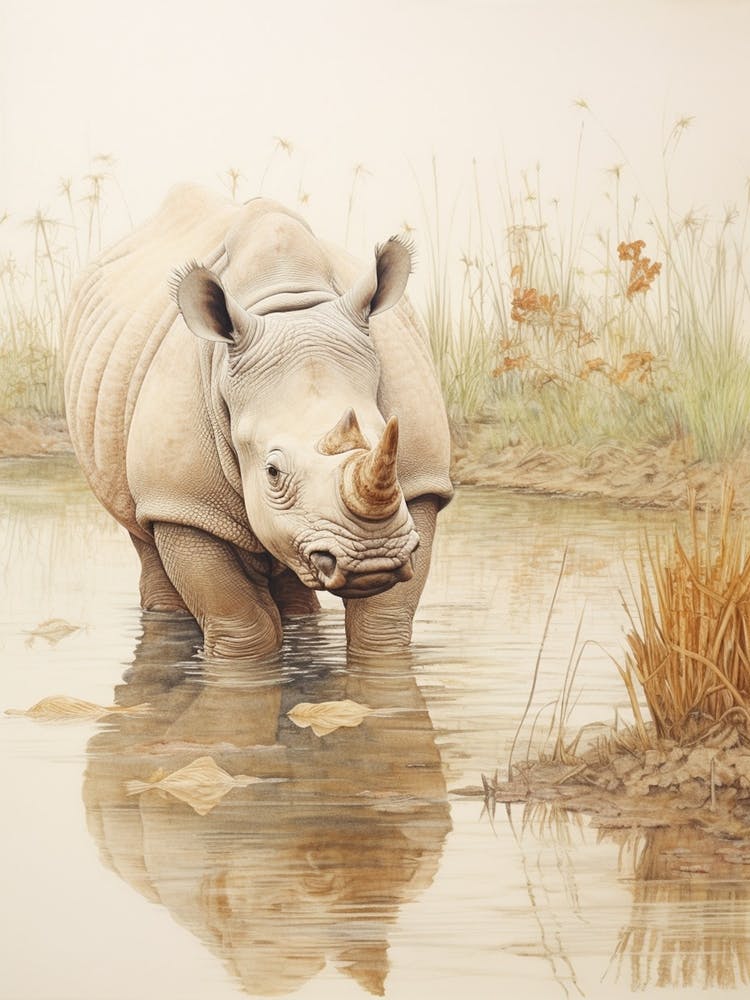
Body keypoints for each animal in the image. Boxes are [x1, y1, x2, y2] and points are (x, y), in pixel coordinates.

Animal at [64, 185, 452, 658]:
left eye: (390, 439)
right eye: (272, 471)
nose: (371, 557)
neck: (287, 303)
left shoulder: (418, 485)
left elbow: (382, 624)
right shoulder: (184, 503)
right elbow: (243, 626)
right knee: (142, 532)